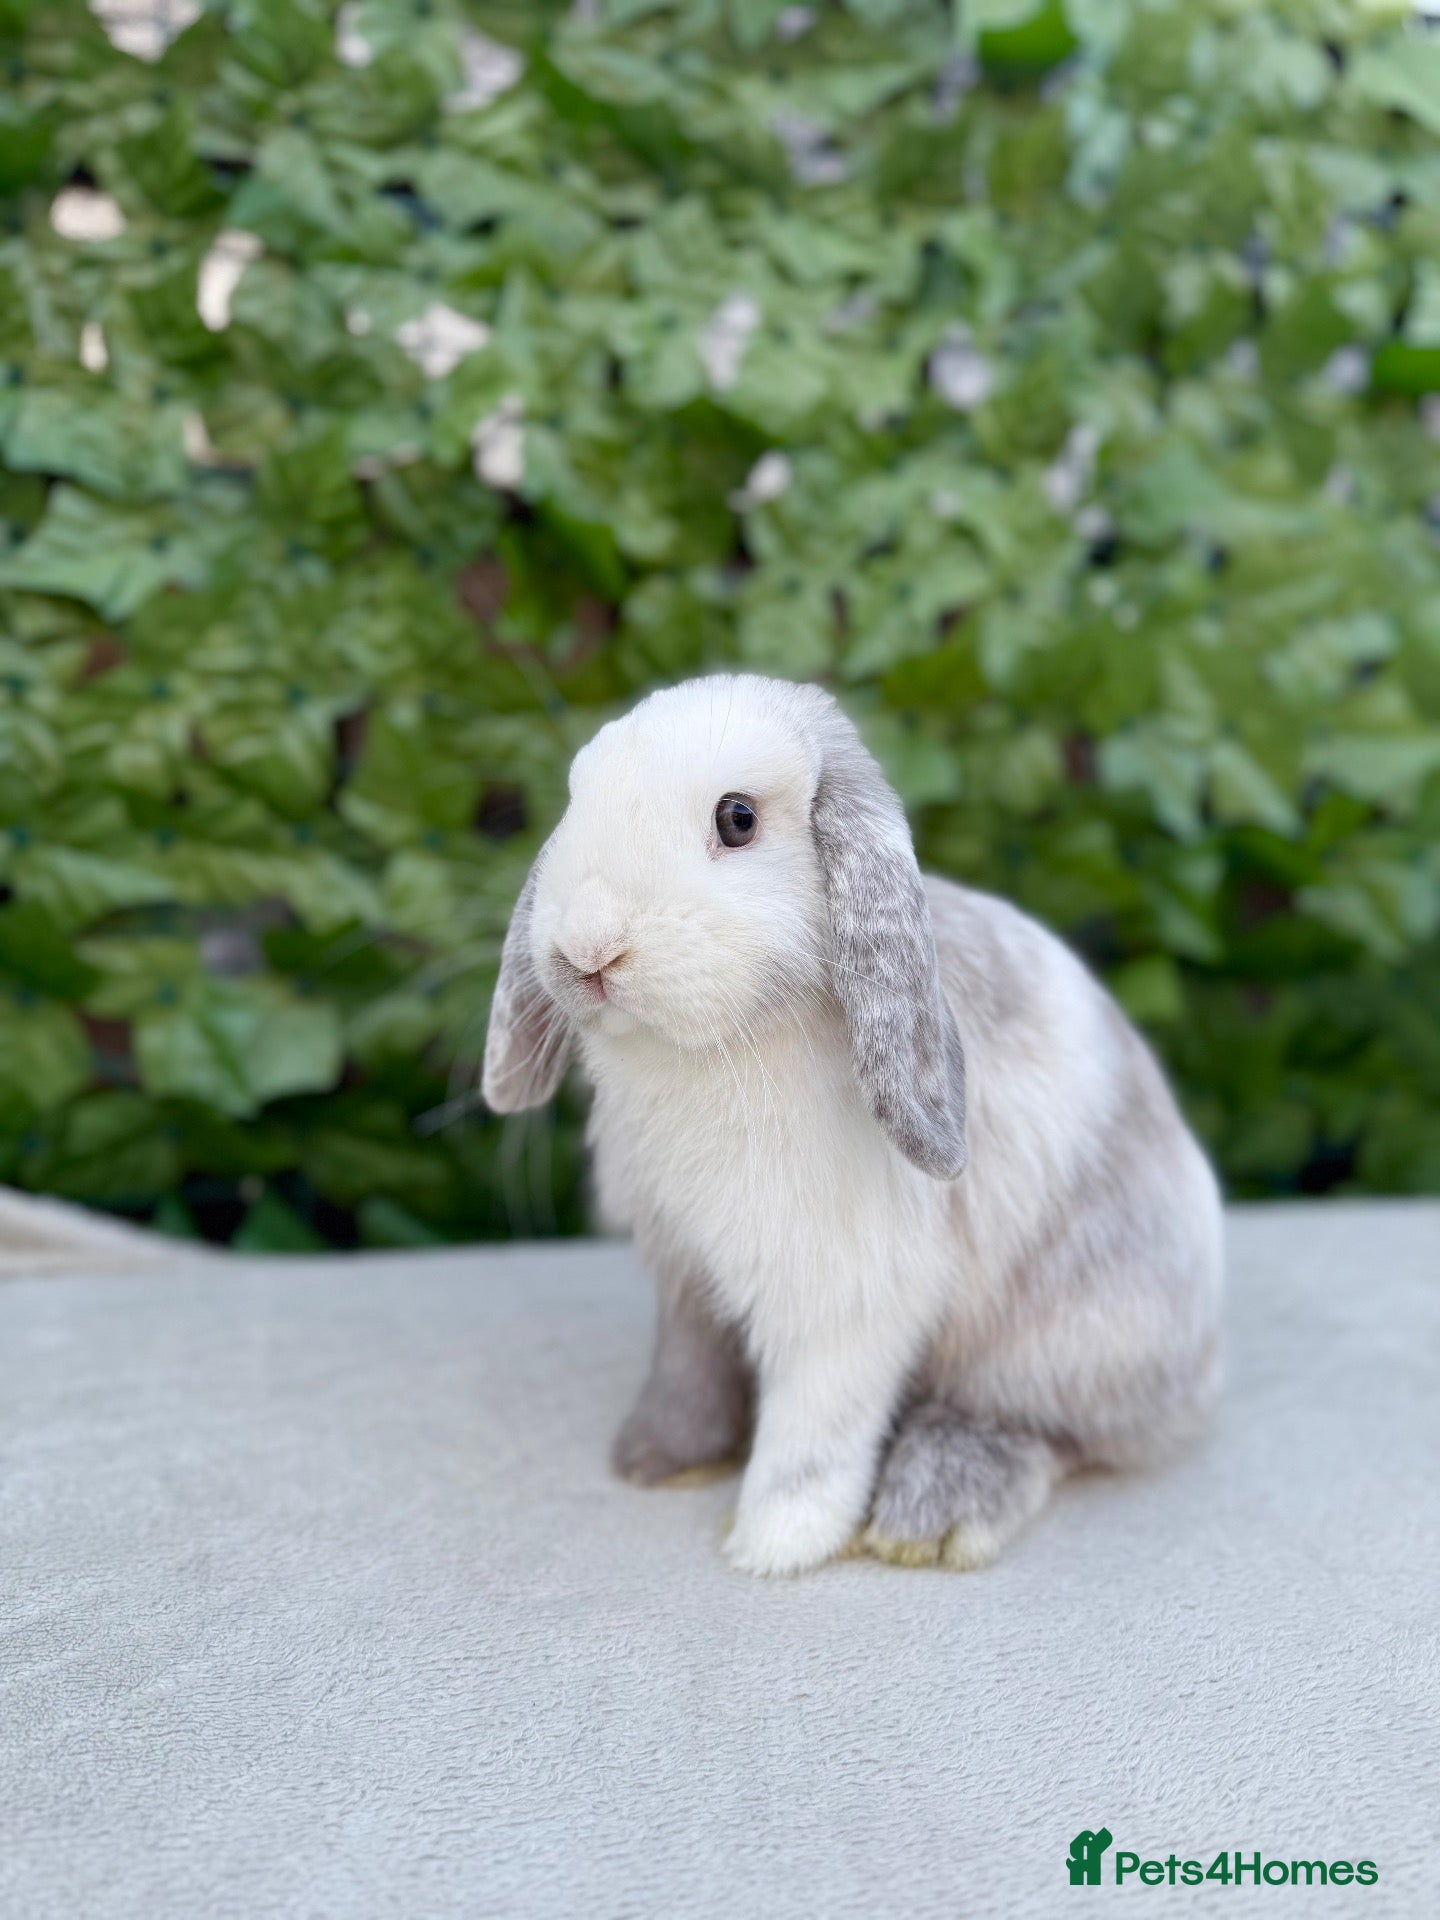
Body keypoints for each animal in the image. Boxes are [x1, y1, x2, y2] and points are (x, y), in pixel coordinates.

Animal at [483, 674, 1223, 1577]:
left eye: (738, 818)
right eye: (575, 798)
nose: (588, 950)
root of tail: (1204, 1363)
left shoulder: (844, 1298)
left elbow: (813, 1430)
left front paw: (773, 1545)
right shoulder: (683, 1272)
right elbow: (688, 1367)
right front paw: (660, 1457)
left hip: (1071, 1341)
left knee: (1047, 1431)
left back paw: (934, 1509)